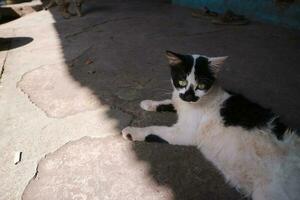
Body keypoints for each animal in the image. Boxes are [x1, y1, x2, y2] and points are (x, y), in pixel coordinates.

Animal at [120, 51, 298, 200]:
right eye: (182, 81)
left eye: (201, 86)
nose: (189, 96)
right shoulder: (179, 99)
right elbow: (170, 101)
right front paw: (149, 104)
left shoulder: (184, 133)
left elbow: (154, 129)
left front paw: (132, 131)